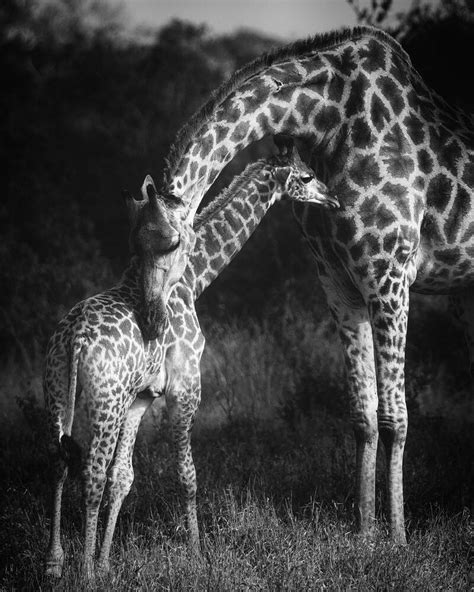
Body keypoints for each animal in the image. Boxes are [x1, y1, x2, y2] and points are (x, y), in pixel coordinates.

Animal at [43, 141, 336, 580]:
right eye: (307, 175)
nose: (333, 198)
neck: (194, 278)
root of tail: (74, 338)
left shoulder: (141, 397)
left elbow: (123, 476)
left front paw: (109, 562)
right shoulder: (185, 385)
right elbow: (187, 476)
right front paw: (198, 556)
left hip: (58, 390)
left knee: (60, 462)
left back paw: (54, 563)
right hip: (104, 401)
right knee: (90, 470)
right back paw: (85, 575)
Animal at [151, 25, 474, 544]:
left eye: (168, 248)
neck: (329, 121)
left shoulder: (390, 276)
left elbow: (396, 417)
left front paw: (400, 538)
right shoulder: (338, 282)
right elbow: (363, 414)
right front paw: (366, 533)